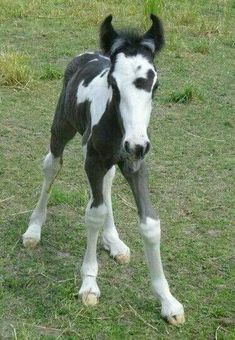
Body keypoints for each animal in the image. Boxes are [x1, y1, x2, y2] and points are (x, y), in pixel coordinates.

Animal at [23, 14, 185, 326]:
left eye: (155, 85)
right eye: (113, 83)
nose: (136, 144)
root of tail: (86, 54)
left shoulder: (135, 164)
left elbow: (150, 223)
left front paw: (168, 301)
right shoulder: (94, 159)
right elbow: (93, 214)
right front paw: (89, 284)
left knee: (107, 182)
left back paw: (114, 241)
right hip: (62, 127)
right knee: (52, 165)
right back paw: (33, 229)